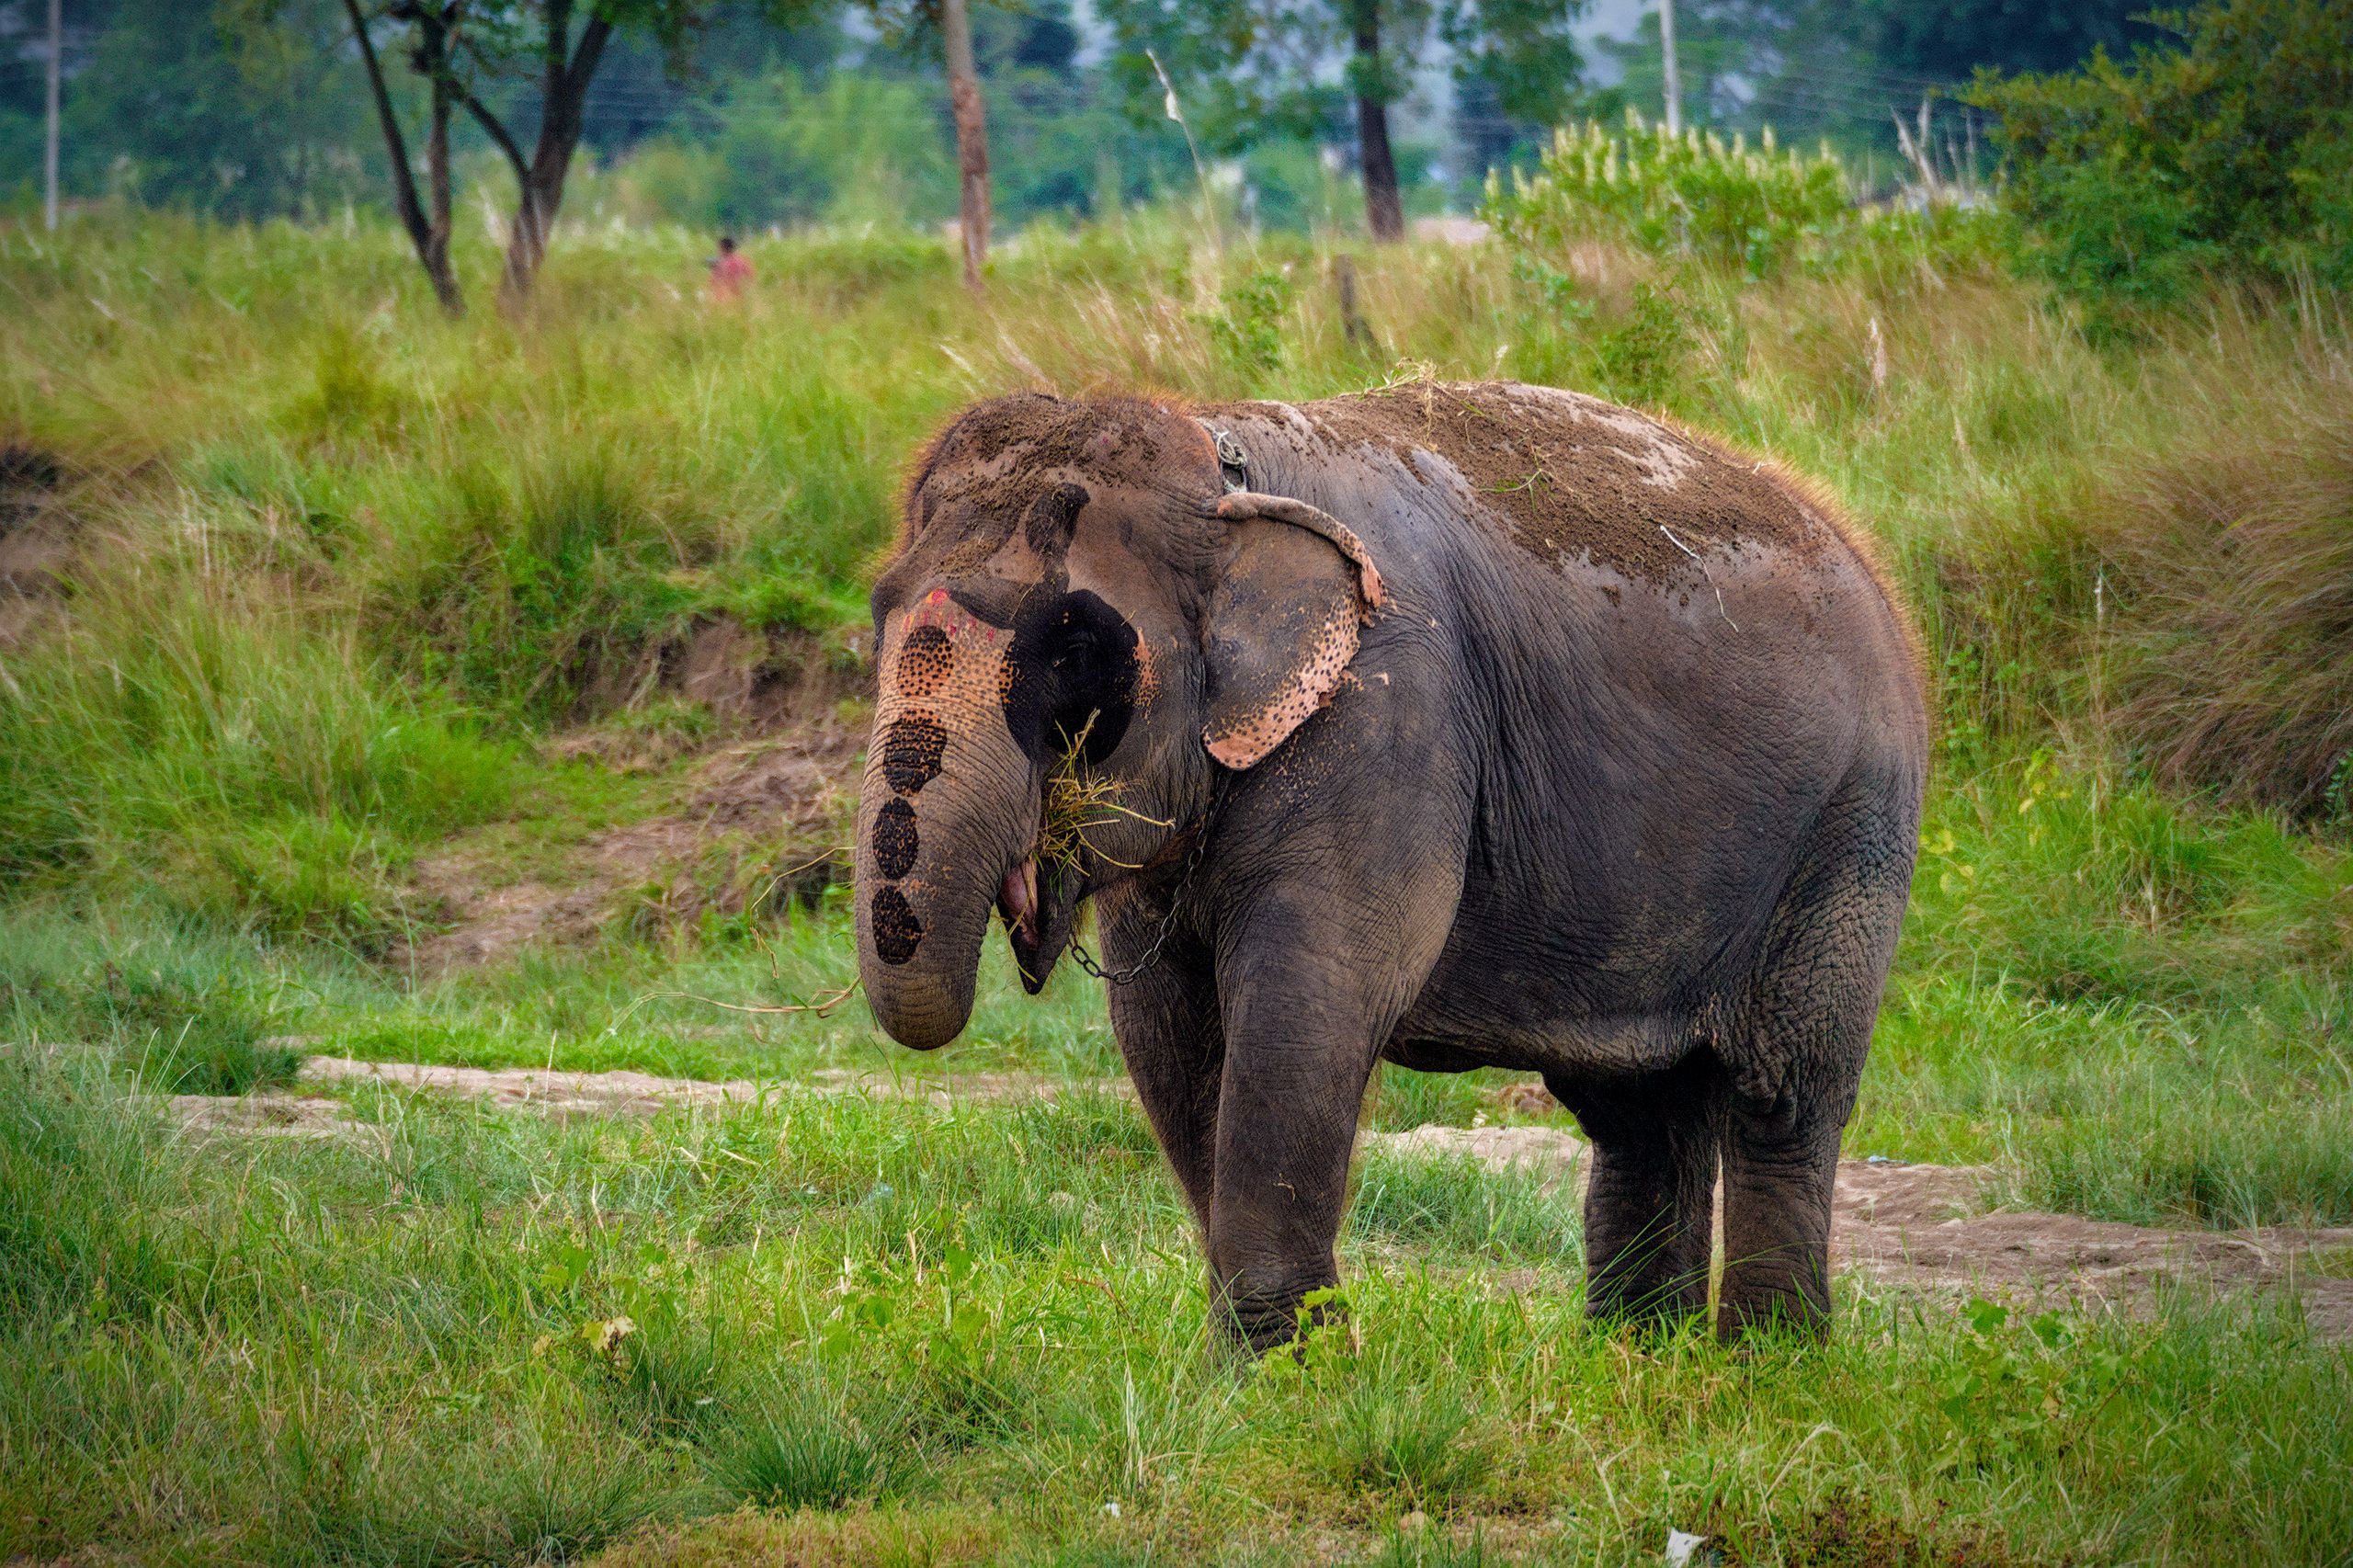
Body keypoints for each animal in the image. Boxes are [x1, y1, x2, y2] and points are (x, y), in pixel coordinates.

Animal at [852, 381, 1927, 1350]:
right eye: (875, 615)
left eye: (1072, 651)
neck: (1218, 462)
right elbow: (1164, 1027)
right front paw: (1254, 1366)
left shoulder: (1390, 720)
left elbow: (1310, 1004)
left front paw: (1293, 1371)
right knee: (1635, 1106)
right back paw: (1633, 1358)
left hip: (1851, 829)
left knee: (1783, 1093)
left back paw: (1763, 1363)